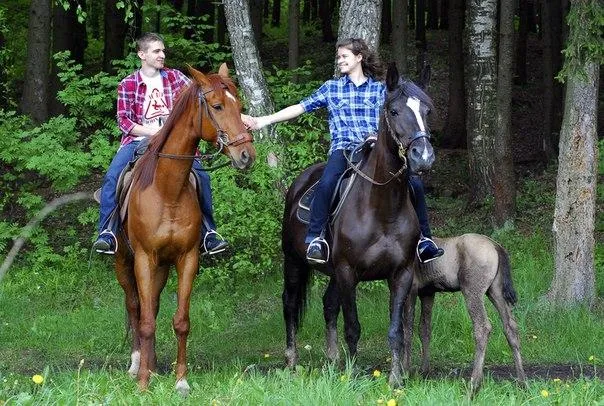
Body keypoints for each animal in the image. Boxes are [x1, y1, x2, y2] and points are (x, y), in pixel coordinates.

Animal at [115, 64, 255, 396]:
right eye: (217, 106)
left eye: (239, 106)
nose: (246, 155)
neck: (168, 190)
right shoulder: (143, 258)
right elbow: (144, 320)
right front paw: (142, 384)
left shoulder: (187, 259)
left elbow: (180, 321)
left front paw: (180, 381)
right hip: (123, 262)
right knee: (135, 306)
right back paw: (137, 365)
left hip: (162, 267)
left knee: (150, 304)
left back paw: (152, 365)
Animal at [280, 63, 436, 384]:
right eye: (394, 111)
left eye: (427, 110)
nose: (423, 157)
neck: (382, 208)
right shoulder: (347, 271)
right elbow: (353, 326)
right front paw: (351, 376)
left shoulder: (400, 274)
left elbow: (396, 331)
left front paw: (395, 378)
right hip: (294, 262)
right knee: (289, 304)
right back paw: (291, 360)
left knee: (328, 305)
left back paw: (332, 359)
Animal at [404, 233, 528, 394]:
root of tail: (497, 247)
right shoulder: (427, 292)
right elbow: (424, 329)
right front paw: (423, 371)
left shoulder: (411, 288)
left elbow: (406, 331)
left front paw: (404, 373)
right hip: (495, 290)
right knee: (510, 326)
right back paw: (522, 383)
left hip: (472, 289)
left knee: (483, 326)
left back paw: (474, 385)